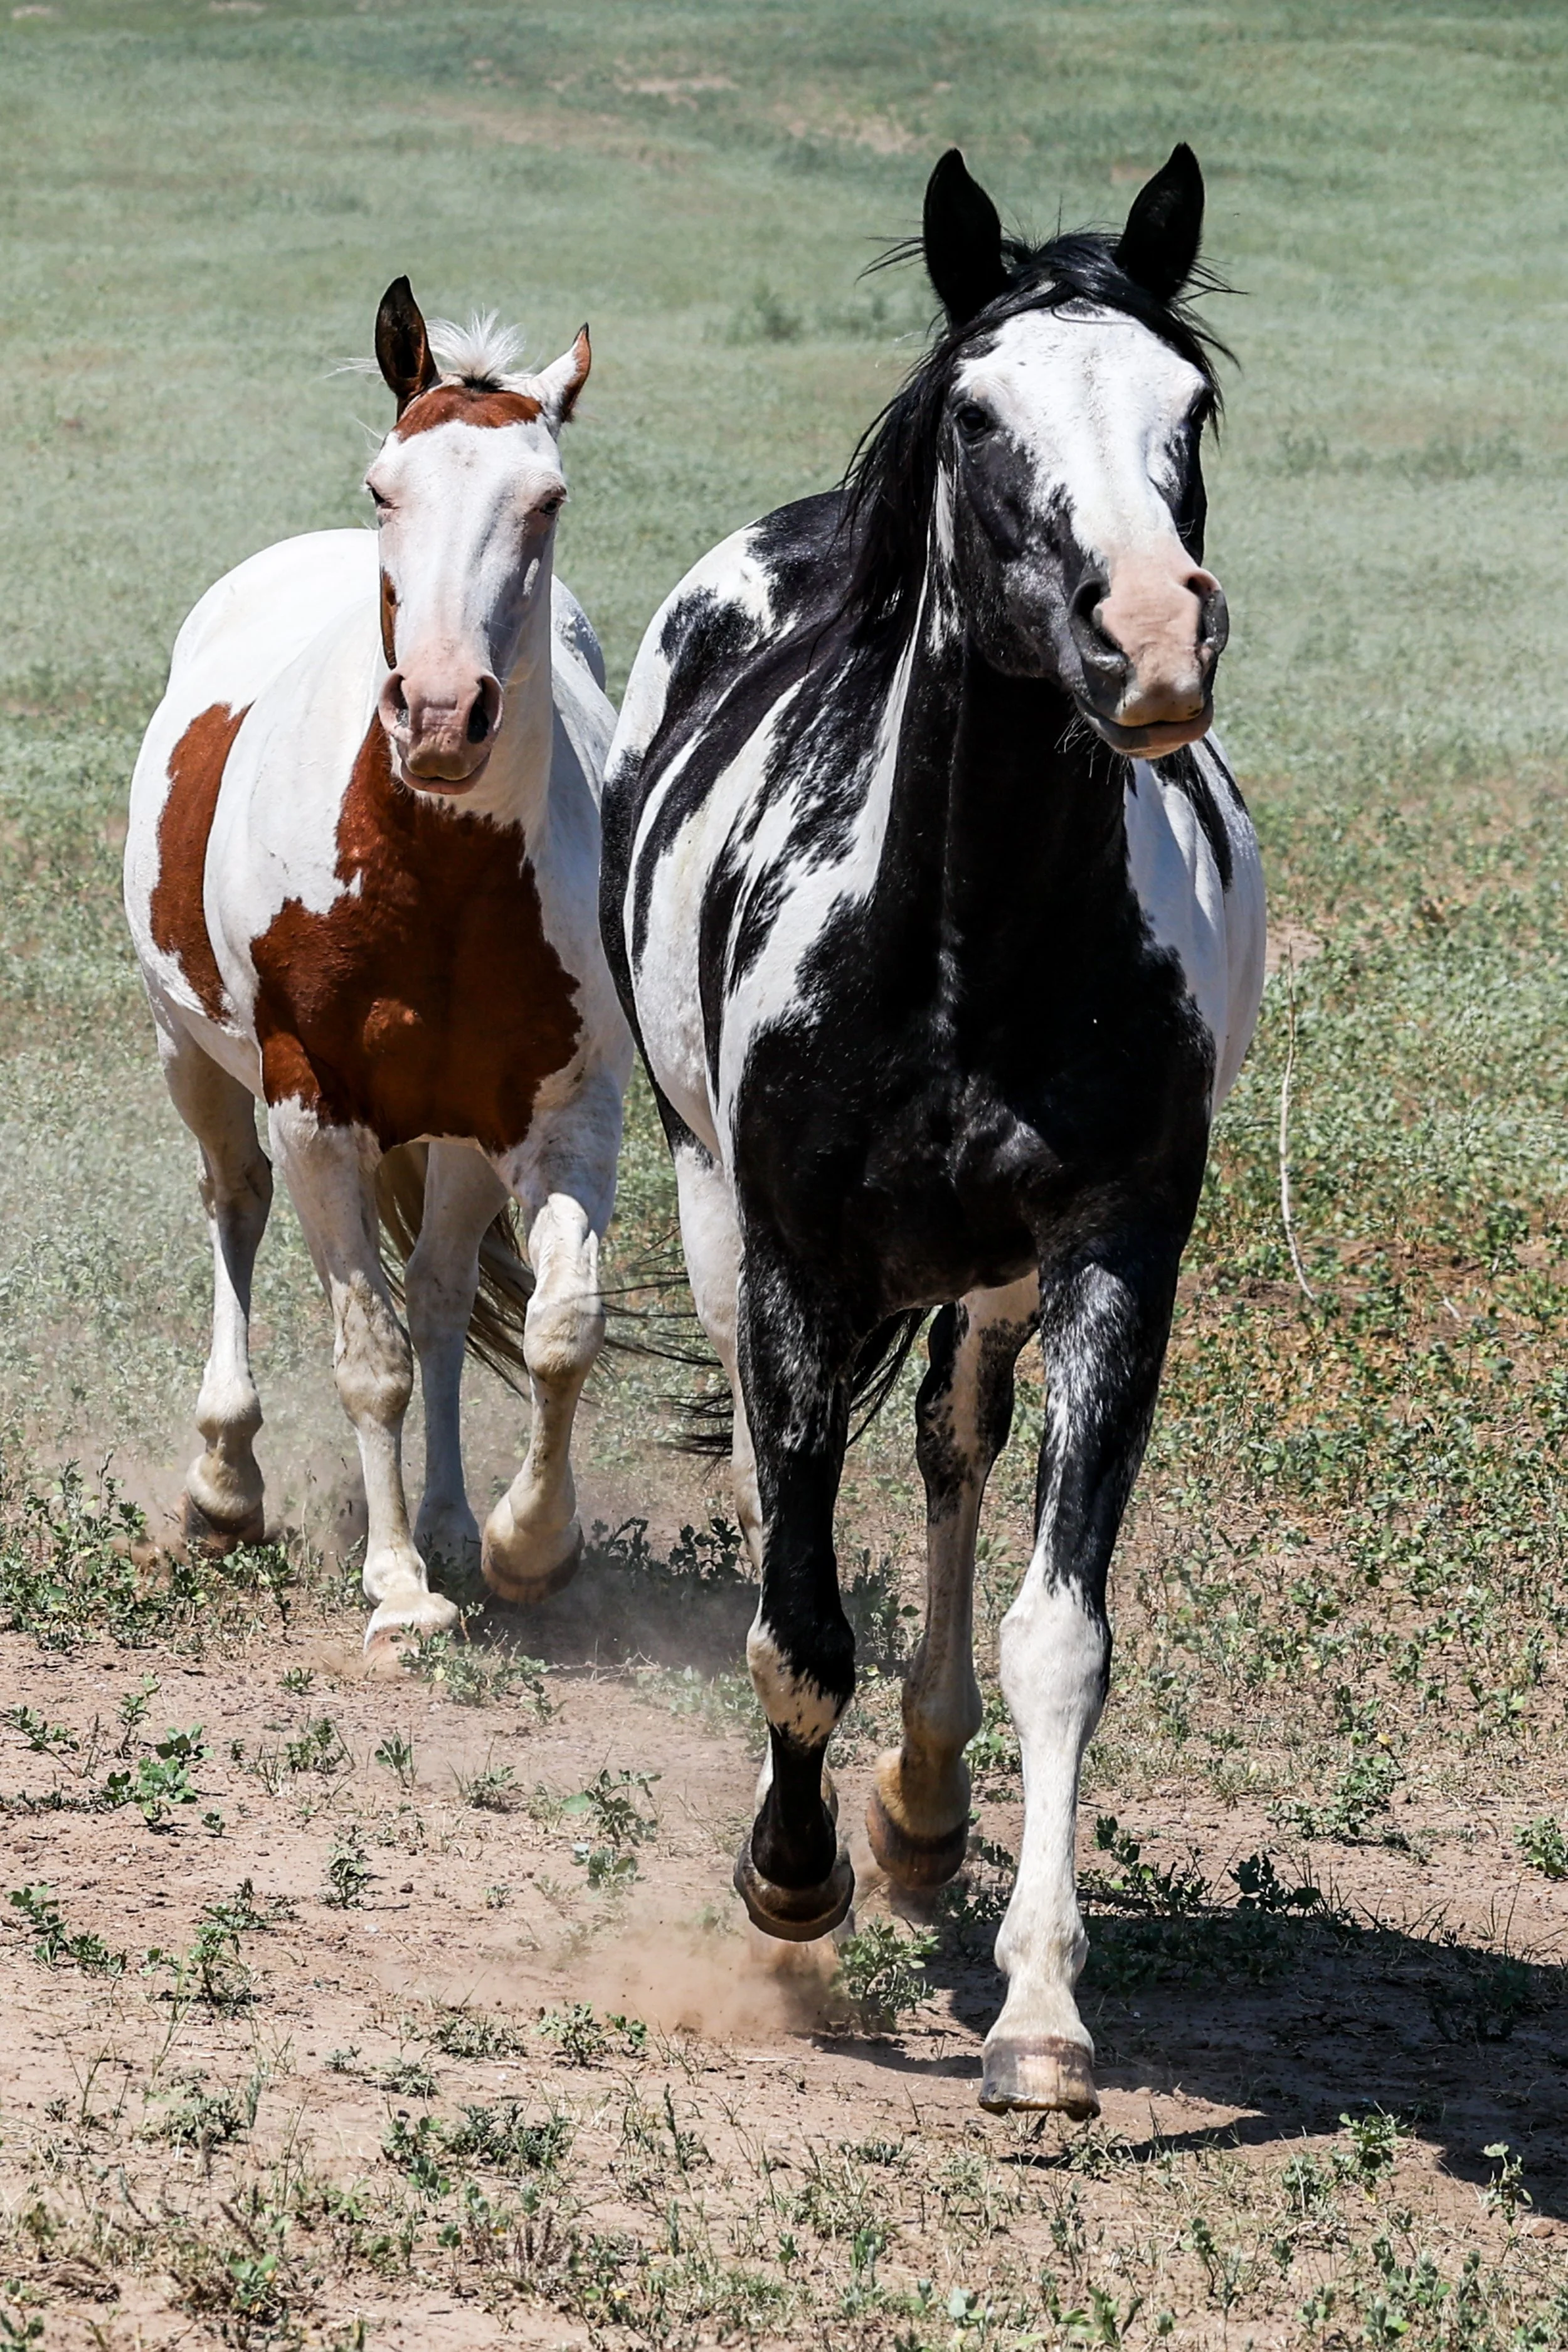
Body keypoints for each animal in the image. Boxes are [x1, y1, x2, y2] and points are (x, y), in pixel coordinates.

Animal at [124, 277, 633, 1652]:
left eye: (547, 498)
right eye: (382, 489)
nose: (444, 714)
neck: (432, 883)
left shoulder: (567, 1108)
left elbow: (555, 1330)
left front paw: (522, 1541)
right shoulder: (313, 1106)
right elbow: (370, 1356)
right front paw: (399, 1589)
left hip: (454, 1139)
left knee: (449, 1297)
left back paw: (456, 1520)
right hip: (193, 1057)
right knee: (234, 1206)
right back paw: (226, 1481)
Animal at [600, 145, 1265, 2115]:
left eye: (1187, 408)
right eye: (981, 416)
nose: (1151, 634)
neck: (970, 942)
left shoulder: (1116, 1256)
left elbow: (1061, 1629)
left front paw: (1039, 2010)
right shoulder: (796, 1251)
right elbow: (795, 1619)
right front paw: (784, 1876)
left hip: (985, 1283)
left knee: (955, 1459)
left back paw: (917, 1802)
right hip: (719, 1218)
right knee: (782, 1486)